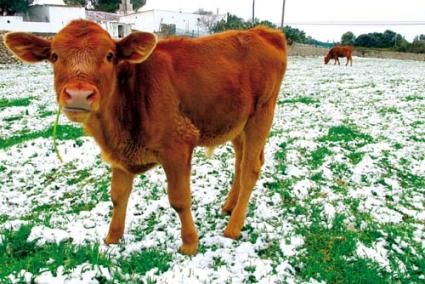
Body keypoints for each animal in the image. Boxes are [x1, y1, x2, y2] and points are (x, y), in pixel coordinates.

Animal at [4, 20, 288, 255]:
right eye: (54, 56)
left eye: (109, 55)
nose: (79, 94)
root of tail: (264, 32)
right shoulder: (119, 156)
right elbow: (118, 196)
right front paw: (111, 239)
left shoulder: (178, 147)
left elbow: (179, 199)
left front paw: (190, 243)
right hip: (237, 122)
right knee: (241, 162)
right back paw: (229, 206)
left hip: (262, 114)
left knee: (251, 168)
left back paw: (233, 227)